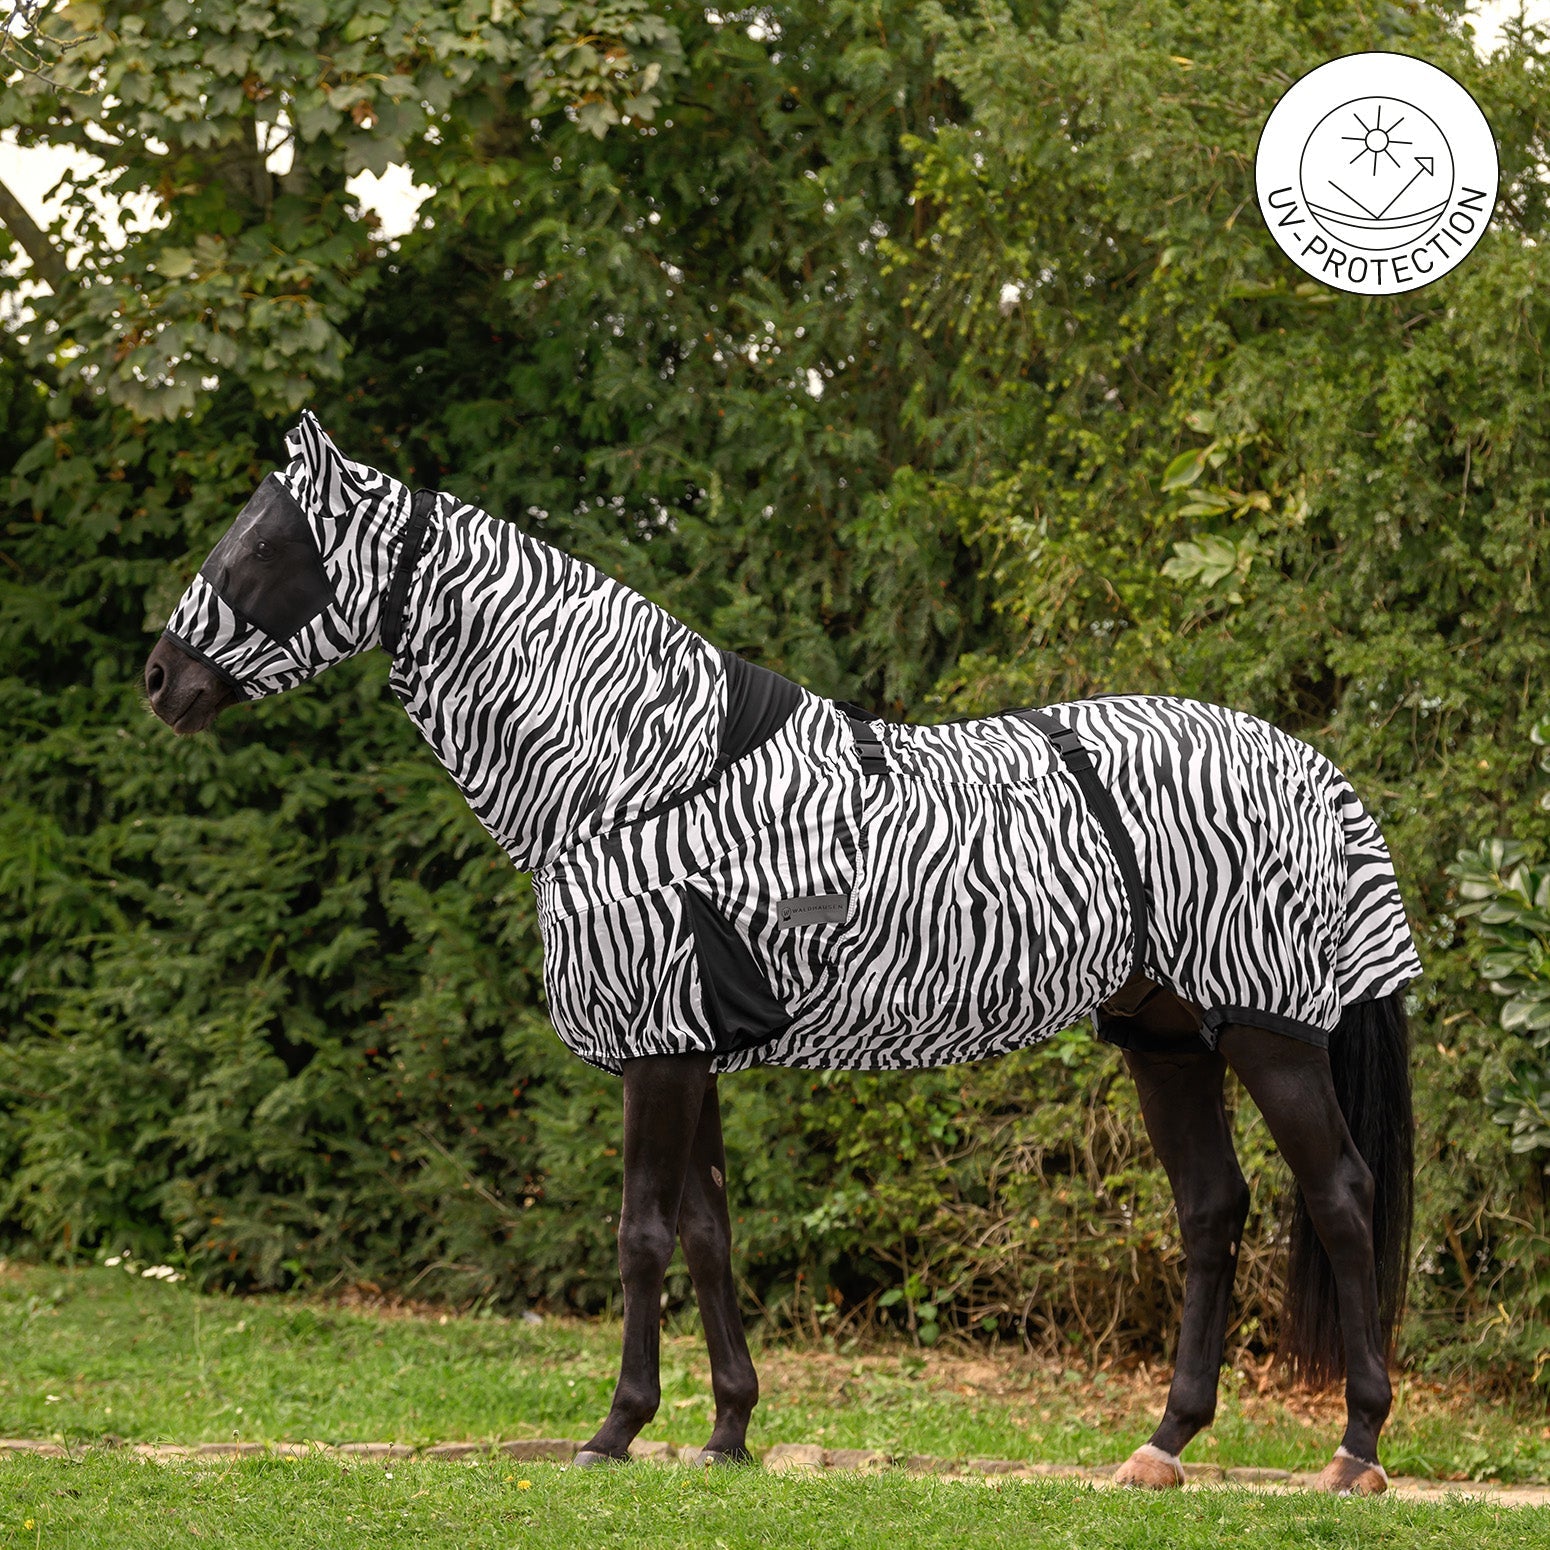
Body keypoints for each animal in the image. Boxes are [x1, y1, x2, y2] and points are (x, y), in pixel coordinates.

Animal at [145, 411, 1422, 1495]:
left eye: (264, 542)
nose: (162, 679)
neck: (634, 775)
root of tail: (1305, 764)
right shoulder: (687, 1045)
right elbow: (707, 1236)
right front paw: (725, 1430)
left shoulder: (658, 1048)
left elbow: (640, 1233)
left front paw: (615, 1429)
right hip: (1162, 1037)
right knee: (1211, 1207)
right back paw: (1162, 1444)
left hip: (1266, 1031)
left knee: (1340, 1196)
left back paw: (1354, 1447)